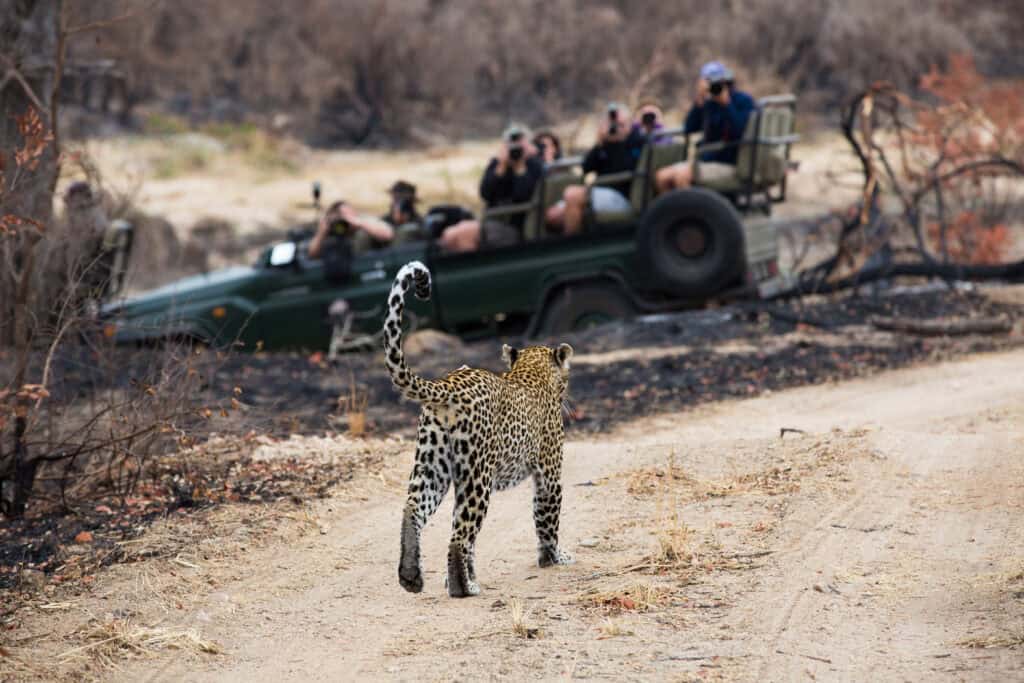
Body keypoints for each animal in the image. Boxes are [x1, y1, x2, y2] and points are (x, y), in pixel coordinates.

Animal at [385, 262, 577, 598]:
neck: (531, 369)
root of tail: (447, 383)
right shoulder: (549, 473)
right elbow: (547, 519)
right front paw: (553, 558)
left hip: (431, 465)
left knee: (413, 510)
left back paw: (412, 576)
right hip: (477, 475)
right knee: (459, 537)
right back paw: (463, 588)